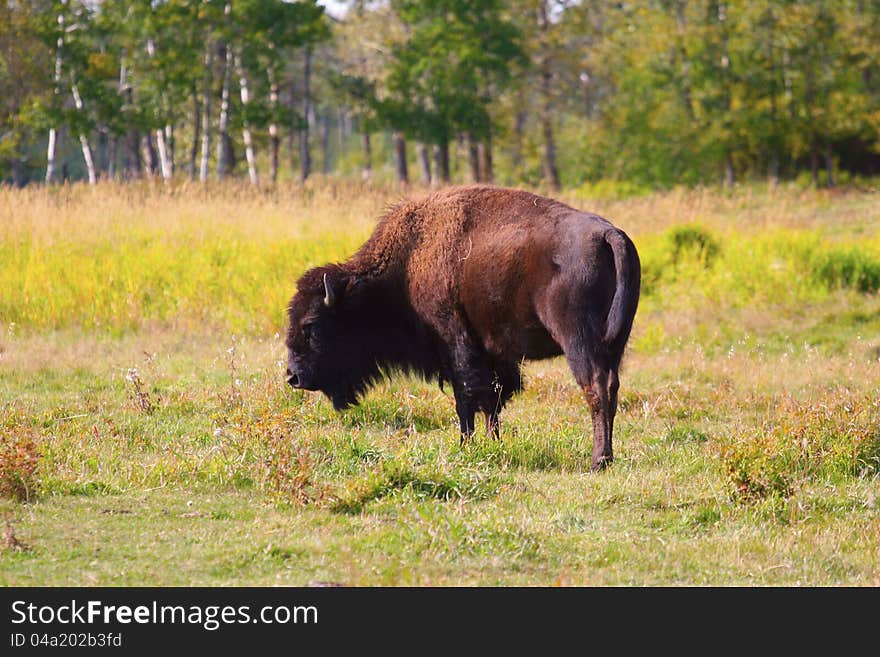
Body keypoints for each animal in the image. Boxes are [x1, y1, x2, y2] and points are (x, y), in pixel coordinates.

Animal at [288, 186, 640, 472]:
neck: (407, 264)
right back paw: (607, 457)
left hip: (578, 341)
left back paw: (599, 460)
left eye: (311, 326)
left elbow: (467, 398)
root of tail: (609, 235)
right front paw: (494, 444)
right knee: (611, 387)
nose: (293, 376)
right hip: (615, 343)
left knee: (595, 387)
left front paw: (465, 446)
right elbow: (493, 400)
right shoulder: (493, 355)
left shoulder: (456, 344)